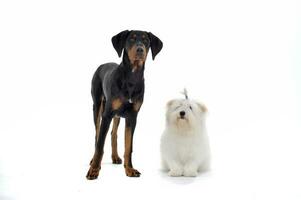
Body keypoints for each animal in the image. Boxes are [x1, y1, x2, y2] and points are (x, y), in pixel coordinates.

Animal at [85, 28, 163, 179]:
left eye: (146, 40)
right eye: (131, 39)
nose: (140, 49)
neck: (132, 78)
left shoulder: (132, 117)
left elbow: (128, 146)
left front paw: (130, 169)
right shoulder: (107, 114)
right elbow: (100, 145)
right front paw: (94, 170)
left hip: (117, 115)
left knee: (113, 133)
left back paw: (115, 157)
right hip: (97, 106)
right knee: (97, 134)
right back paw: (93, 160)